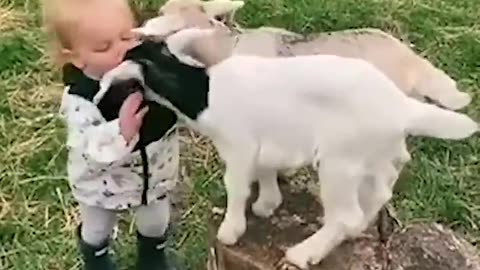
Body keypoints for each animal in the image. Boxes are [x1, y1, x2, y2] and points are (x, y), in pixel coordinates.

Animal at [96, 25, 476, 268]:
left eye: (116, 87)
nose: (98, 106)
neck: (203, 90)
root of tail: (401, 106)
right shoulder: (265, 140)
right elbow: (266, 168)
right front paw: (267, 203)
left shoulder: (239, 144)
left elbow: (236, 186)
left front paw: (232, 230)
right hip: (376, 156)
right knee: (378, 193)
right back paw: (351, 231)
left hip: (340, 161)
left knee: (347, 213)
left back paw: (305, 253)